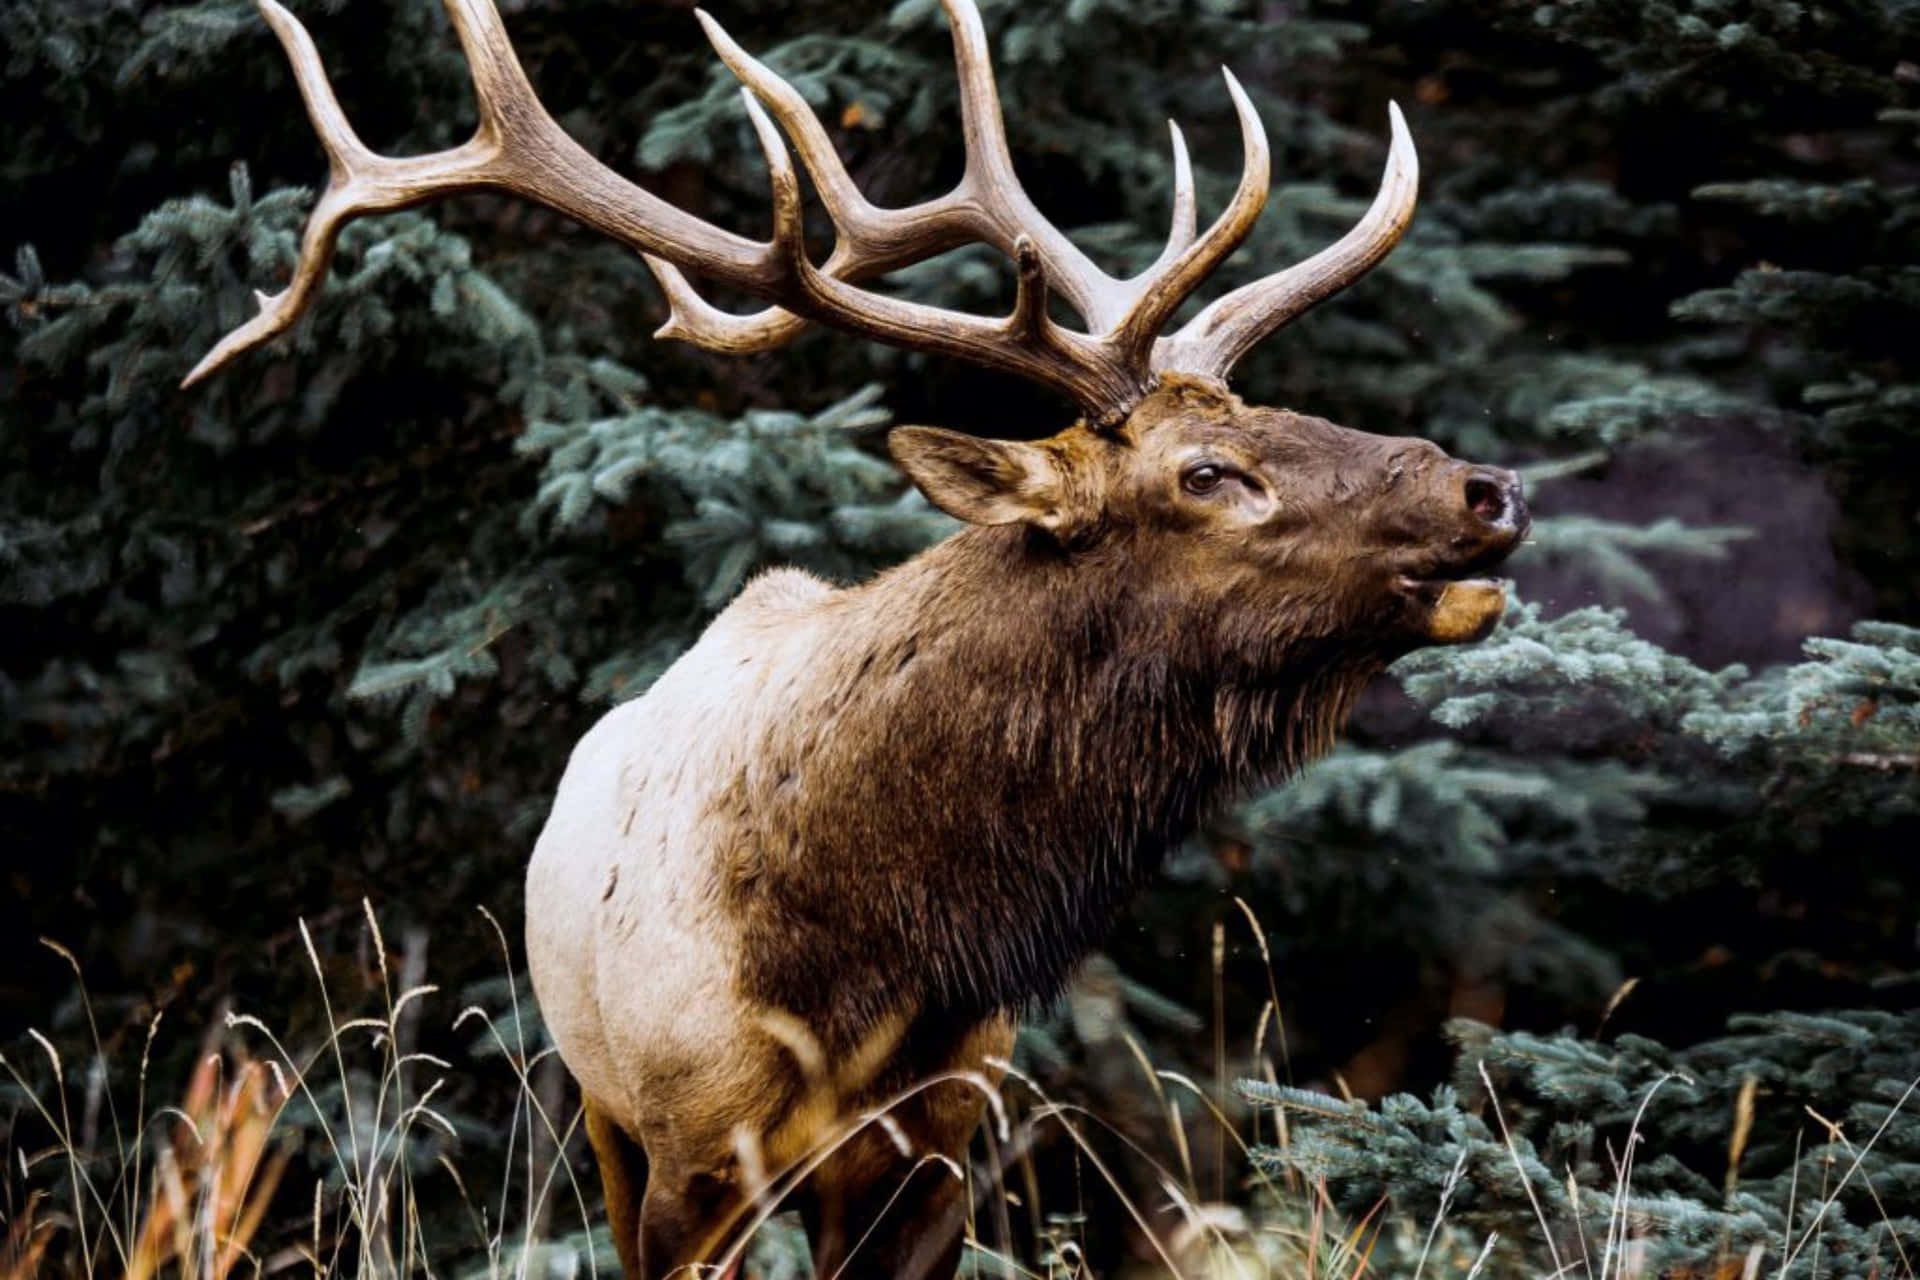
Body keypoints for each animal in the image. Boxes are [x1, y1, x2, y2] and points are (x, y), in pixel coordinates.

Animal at [185, 0, 1530, 1275]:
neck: (869, 950)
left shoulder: (936, 1144)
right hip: (600, 1106)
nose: (1489, 487)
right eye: (1207, 470)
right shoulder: (688, 1146)